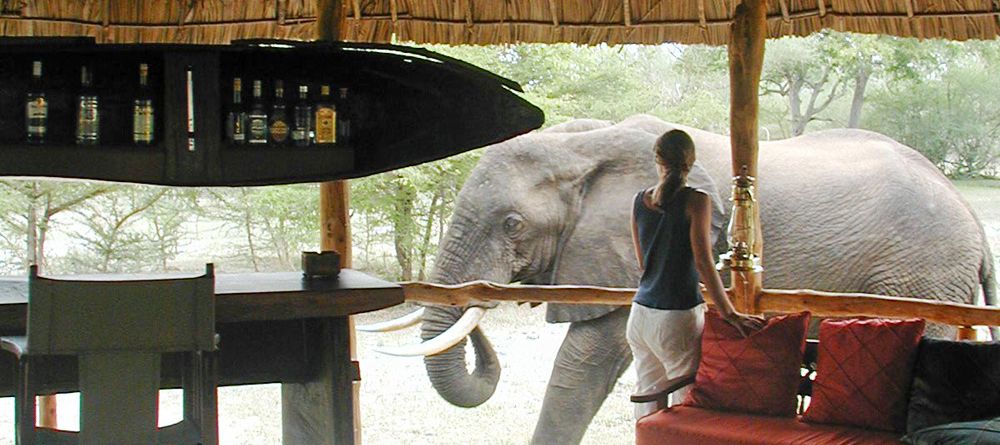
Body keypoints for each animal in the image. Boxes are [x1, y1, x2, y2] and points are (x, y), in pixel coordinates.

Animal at [404, 115, 997, 445]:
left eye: (512, 224)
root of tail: (969, 213)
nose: (479, 309)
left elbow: (585, 362)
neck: (585, 142)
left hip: (924, 274)